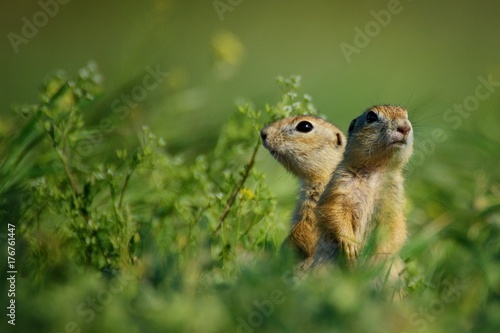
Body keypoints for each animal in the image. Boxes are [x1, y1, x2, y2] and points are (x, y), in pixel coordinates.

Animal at [314, 105, 412, 268]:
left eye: (406, 115)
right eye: (371, 117)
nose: (405, 127)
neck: (375, 170)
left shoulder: (394, 197)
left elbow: (394, 226)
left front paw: (377, 255)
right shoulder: (340, 184)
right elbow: (333, 210)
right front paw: (350, 246)